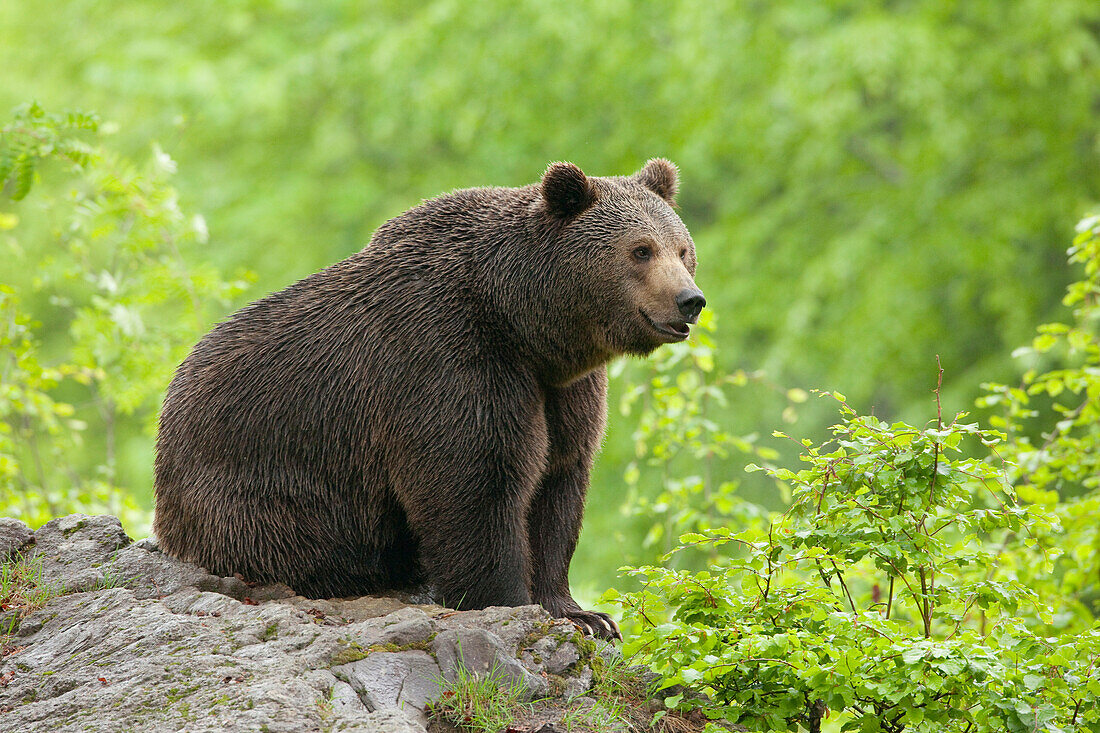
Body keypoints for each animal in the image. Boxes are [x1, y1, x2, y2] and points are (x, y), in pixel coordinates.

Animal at [152, 158, 704, 633]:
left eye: (681, 249)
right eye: (640, 250)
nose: (690, 300)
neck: (520, 322)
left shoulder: (562, 390)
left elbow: (558, 482)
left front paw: (582, 613)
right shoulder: (447, 360)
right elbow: (474, 483)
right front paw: (509, 601)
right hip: (261, 481)